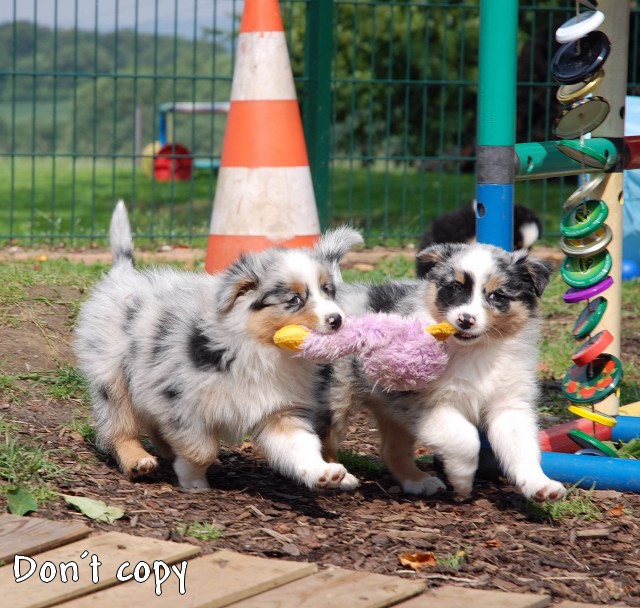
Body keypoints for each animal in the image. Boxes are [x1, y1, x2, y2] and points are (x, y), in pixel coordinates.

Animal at [73, 202, 362, 492]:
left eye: (328, 291)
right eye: (294, 300)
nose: (337, 320)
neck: (261, 350)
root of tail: (122, 274)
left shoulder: (278, 410)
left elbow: (301, 446)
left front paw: (324, 473)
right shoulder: (181, 400)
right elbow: (203, 449)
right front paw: (194, 482)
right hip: (112, 376)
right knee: (120, 426)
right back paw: (137, 460)